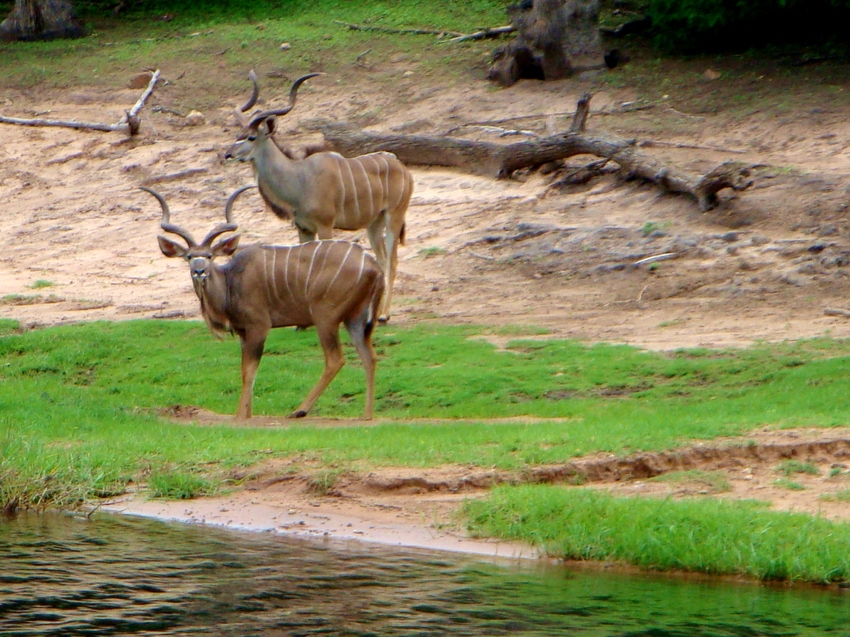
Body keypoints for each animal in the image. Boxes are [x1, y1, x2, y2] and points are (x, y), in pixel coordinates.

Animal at [144, 184, 382, 420]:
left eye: (210, 256)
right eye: (189, 257)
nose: (199, 271)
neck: (231, 282)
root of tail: (373, 265)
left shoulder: (259, 327)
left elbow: (250, 371)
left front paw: (241, 416)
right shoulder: (244, 332)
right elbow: (244, 370)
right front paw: (246, 413)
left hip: (325, 317)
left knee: (336, 359)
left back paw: (300, 410)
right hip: (355, 319)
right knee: (369, 356)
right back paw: (367, 415)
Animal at [224, 71, 412, 322]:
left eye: (251, 137)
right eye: (239, 134)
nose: (228, 154)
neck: (300, 179)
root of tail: (403, 168)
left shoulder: (325, 225)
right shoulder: (303, 228)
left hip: (394, 217)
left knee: (392, 261)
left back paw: (384, 315)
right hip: (374, 223)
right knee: (381, 260)